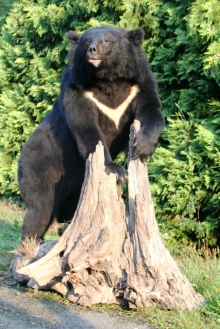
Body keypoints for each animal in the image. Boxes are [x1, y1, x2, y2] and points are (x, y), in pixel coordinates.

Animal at [17, 26, 165, 238]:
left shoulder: (139, 84)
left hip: (76, 188)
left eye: (107, 40)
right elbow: (86, 128)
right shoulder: (79, 90)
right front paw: (118, 171)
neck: (107, 79)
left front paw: (141, 148)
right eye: (87, 41)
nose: (92, 50)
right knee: (38, 211)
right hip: (39, 167)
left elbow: (151, 109)